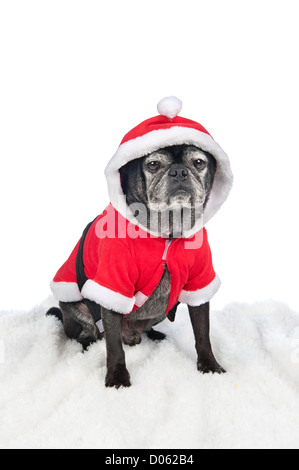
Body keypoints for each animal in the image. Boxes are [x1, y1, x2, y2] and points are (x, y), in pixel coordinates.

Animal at [48, 144, 227, 390]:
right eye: (153, 164)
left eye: (199, 163)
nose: (179, 171)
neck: (167, 231)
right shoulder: (113, 287)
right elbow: (114, 348)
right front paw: (117, 377)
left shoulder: (199, 284)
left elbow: (202, 334)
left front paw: (210, 365)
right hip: (75, 308)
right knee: (90, 335)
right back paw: (87, 345)